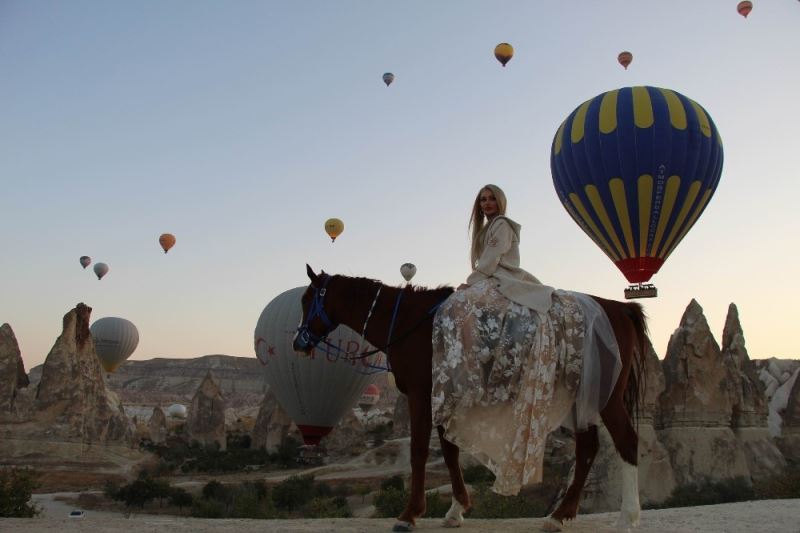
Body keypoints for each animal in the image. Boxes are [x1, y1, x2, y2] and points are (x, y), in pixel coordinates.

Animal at [294, 266, 648, 528]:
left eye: (306, 300)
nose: (299, 342)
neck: (410, 322)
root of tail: (620, 307)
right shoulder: (442, 395)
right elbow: (449, 451)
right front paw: (456, 509)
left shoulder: (422, 395)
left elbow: (419, 451)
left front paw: (410, 514)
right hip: (582, 397)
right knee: (588, 448)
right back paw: (560, 516)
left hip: (605, 396)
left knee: (626, 441)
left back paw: (627, 517)